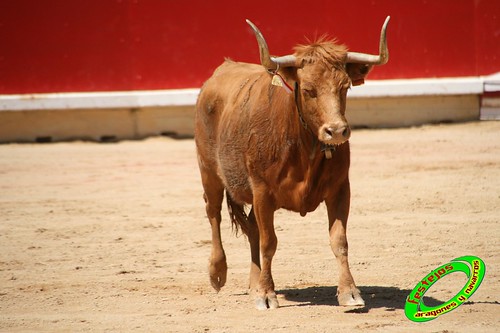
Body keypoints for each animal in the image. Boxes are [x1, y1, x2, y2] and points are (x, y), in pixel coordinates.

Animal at [193, 17, 388, 308]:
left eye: (345, 87)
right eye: (308, 90)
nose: (337, 131)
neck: (304, 148)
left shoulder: (341, 188)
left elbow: (339, 240)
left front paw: (349, 292)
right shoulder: (262, 192)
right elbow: (269, 243)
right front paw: (266, 294)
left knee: (251, 226)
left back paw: (254, 282)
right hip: (208, 171)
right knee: (213, 213)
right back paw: (218, 272)